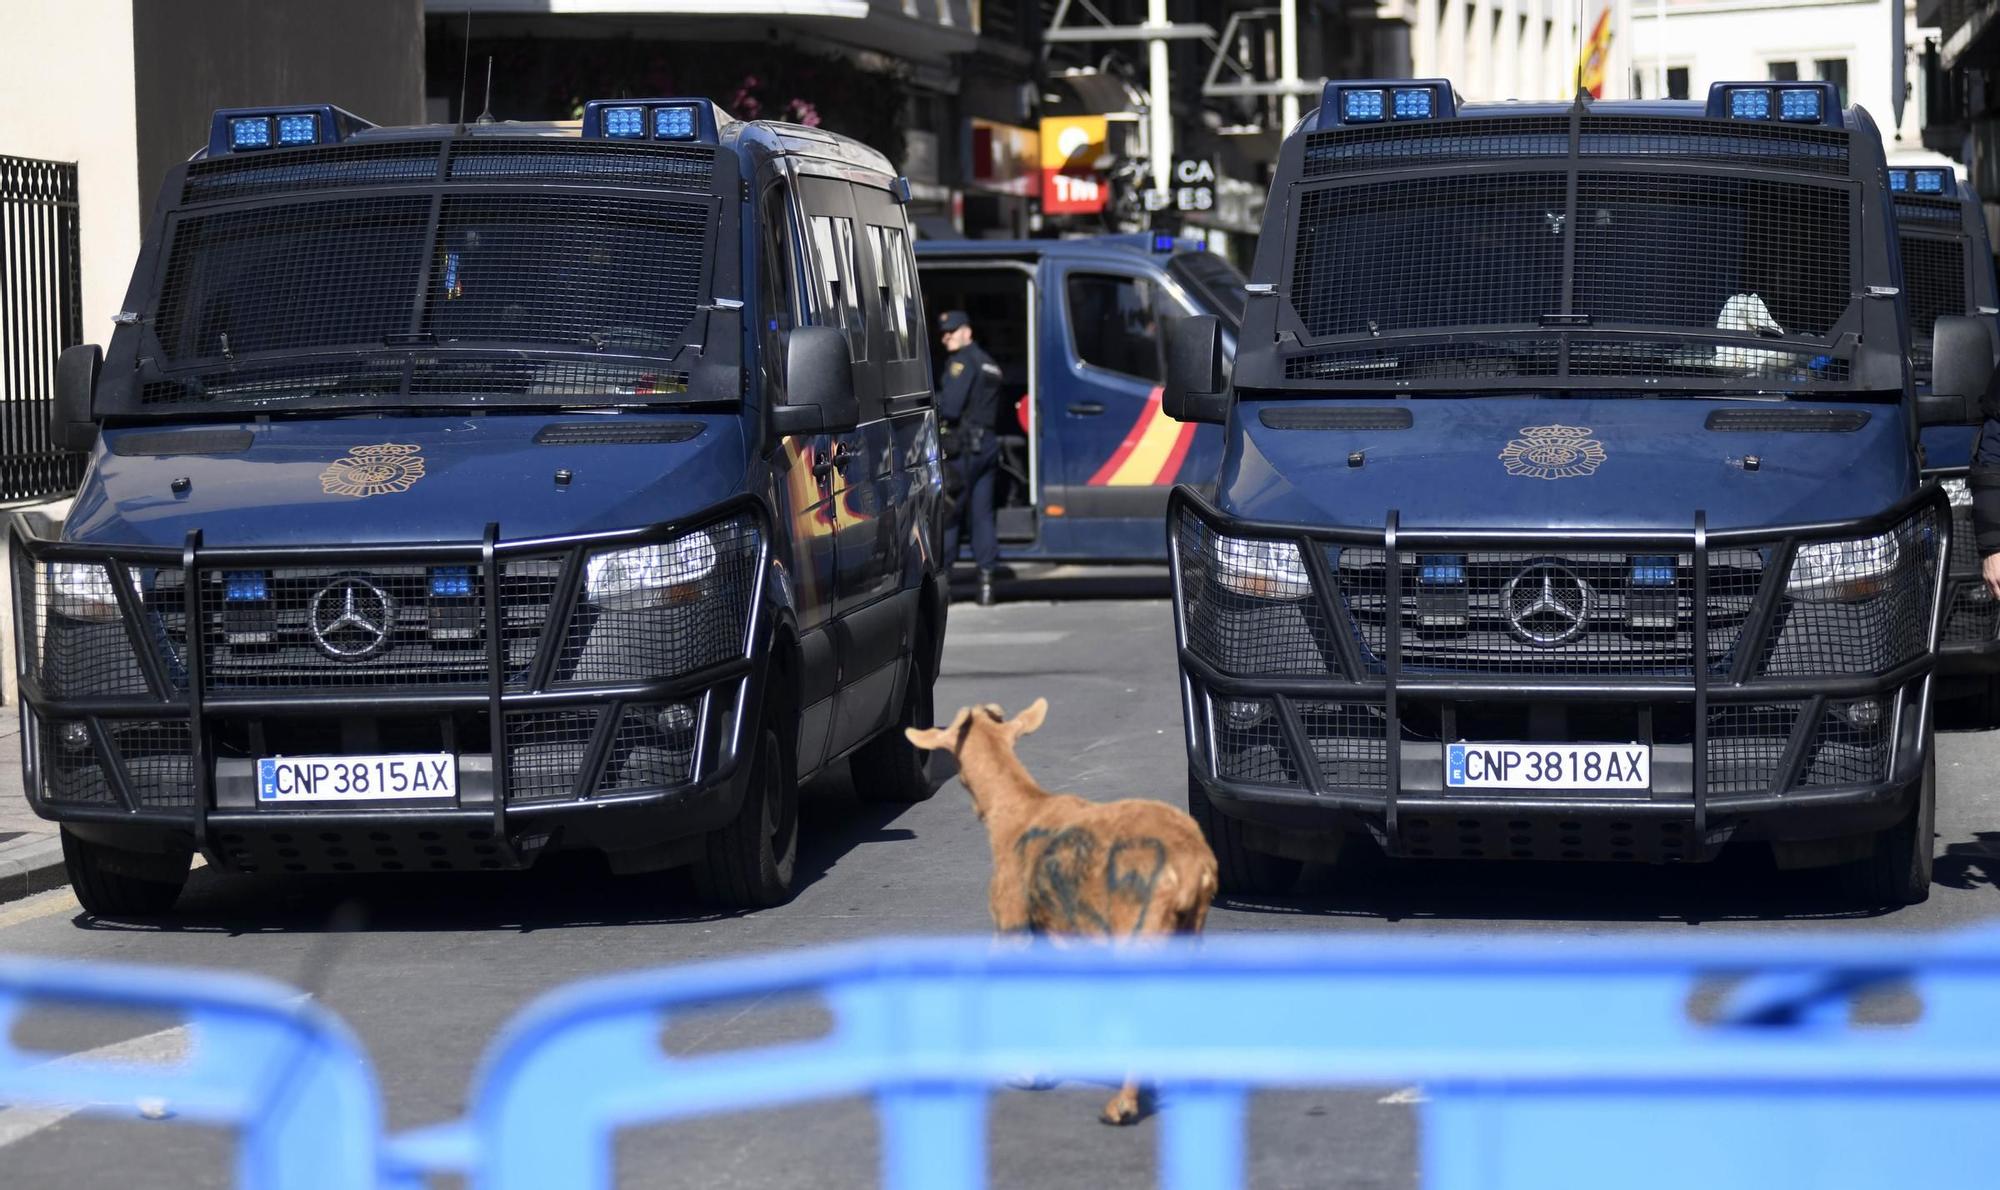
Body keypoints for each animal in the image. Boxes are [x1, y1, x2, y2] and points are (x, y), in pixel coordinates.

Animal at [908, 700, 1216, 1128]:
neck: (1019, 809)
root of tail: (1193, 867)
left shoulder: (1012, 923)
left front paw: (1026, 1071)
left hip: (1138, 929)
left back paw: (1123, 1104)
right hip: (1188, 930)